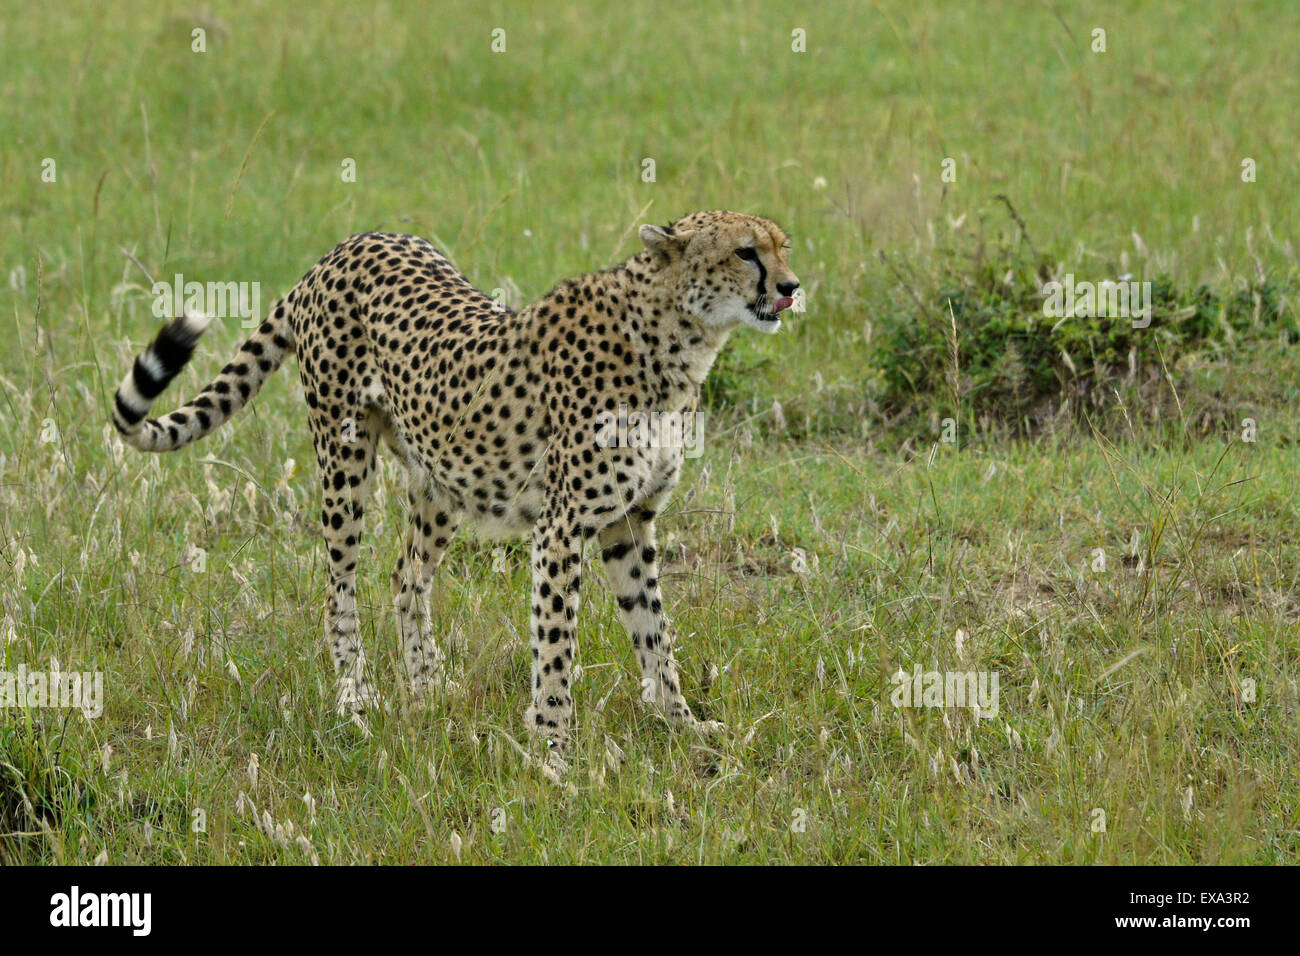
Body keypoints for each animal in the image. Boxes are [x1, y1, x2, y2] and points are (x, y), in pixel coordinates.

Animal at [114, 210, 800, 764]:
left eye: (782, 247)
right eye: (746, 252)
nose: (791, 287)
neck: (676, 339)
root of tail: (344, 247)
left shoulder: (628, 523)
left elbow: (655, 633)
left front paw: (681, 725)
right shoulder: (561, 528)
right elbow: (556, 647)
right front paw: (553, 751)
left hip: (440, 477)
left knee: (406, 575)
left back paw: (427, 685)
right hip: (343, 456)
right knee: (339, 584)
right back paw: (354, 698)